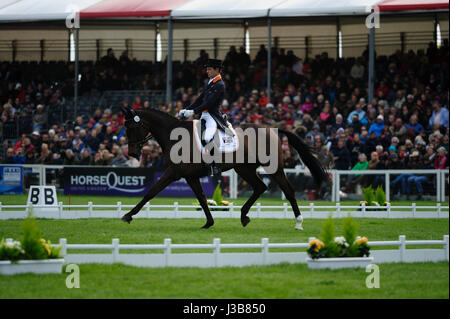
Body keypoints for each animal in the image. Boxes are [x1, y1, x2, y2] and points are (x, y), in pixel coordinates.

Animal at [119, 107, 330, 230]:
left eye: (132, 128)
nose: (132, 153)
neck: (175, 136)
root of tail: (273, 129)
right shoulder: (190, 176)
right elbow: (202, 198)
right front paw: (209, 222)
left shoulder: (173, 173)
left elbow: (151, 192)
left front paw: (128, 215)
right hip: (243, 169)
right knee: (260, 187)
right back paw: (244, 216)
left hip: (273, 168)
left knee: (288, 190)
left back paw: (299, 222)